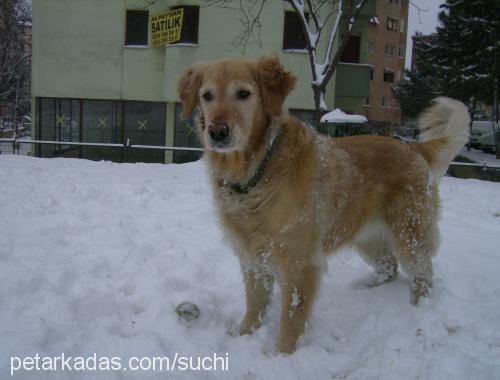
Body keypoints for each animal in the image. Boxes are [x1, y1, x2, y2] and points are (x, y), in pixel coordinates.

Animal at [176, 54, 468, 354]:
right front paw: (245, 332)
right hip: (368, 236)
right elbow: (255, 300)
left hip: (410, 233)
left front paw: (281, 353)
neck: (255, 172)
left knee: (423, 272)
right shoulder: (251, 255)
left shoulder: (299, 262)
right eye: (207, 96)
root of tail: (412, 147)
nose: (217, 132)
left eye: (243, 94)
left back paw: (419, 307)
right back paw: (364, 287)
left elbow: (292, 315)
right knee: (389, 267)